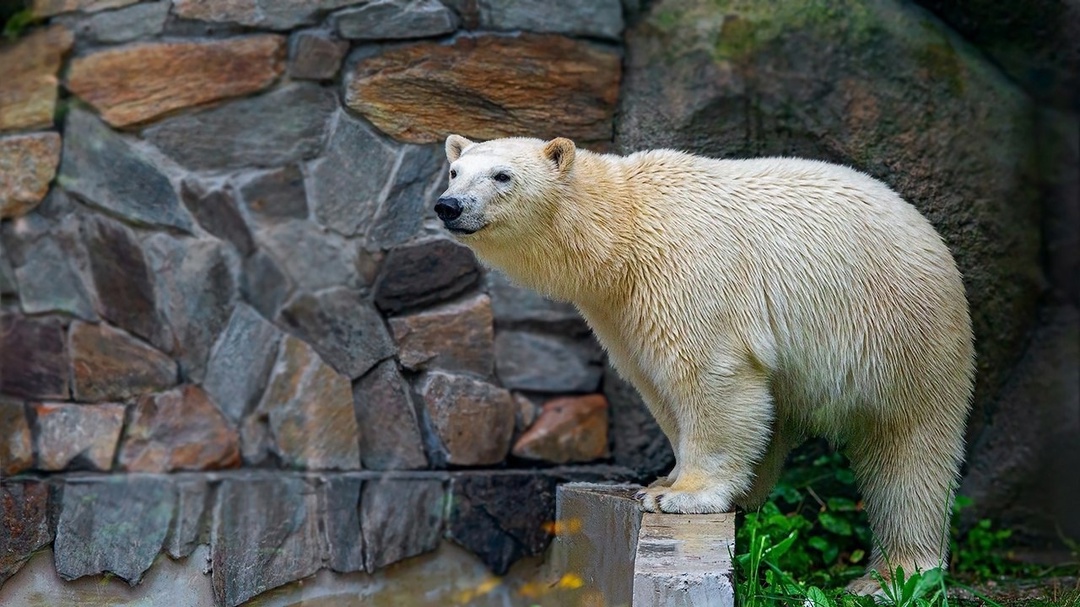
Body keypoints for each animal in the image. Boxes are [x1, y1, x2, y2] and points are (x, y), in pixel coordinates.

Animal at [434, 133, 976, 591]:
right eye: (456, 171)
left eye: (502, 175)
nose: (448, 205)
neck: (623, 228)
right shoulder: (621, 311)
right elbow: (658, 384)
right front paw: (664, 479)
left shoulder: (686, 271)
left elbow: (710, 375)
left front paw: (680, 495)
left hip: (898, 331)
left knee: (909, 449)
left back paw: (893, 574)